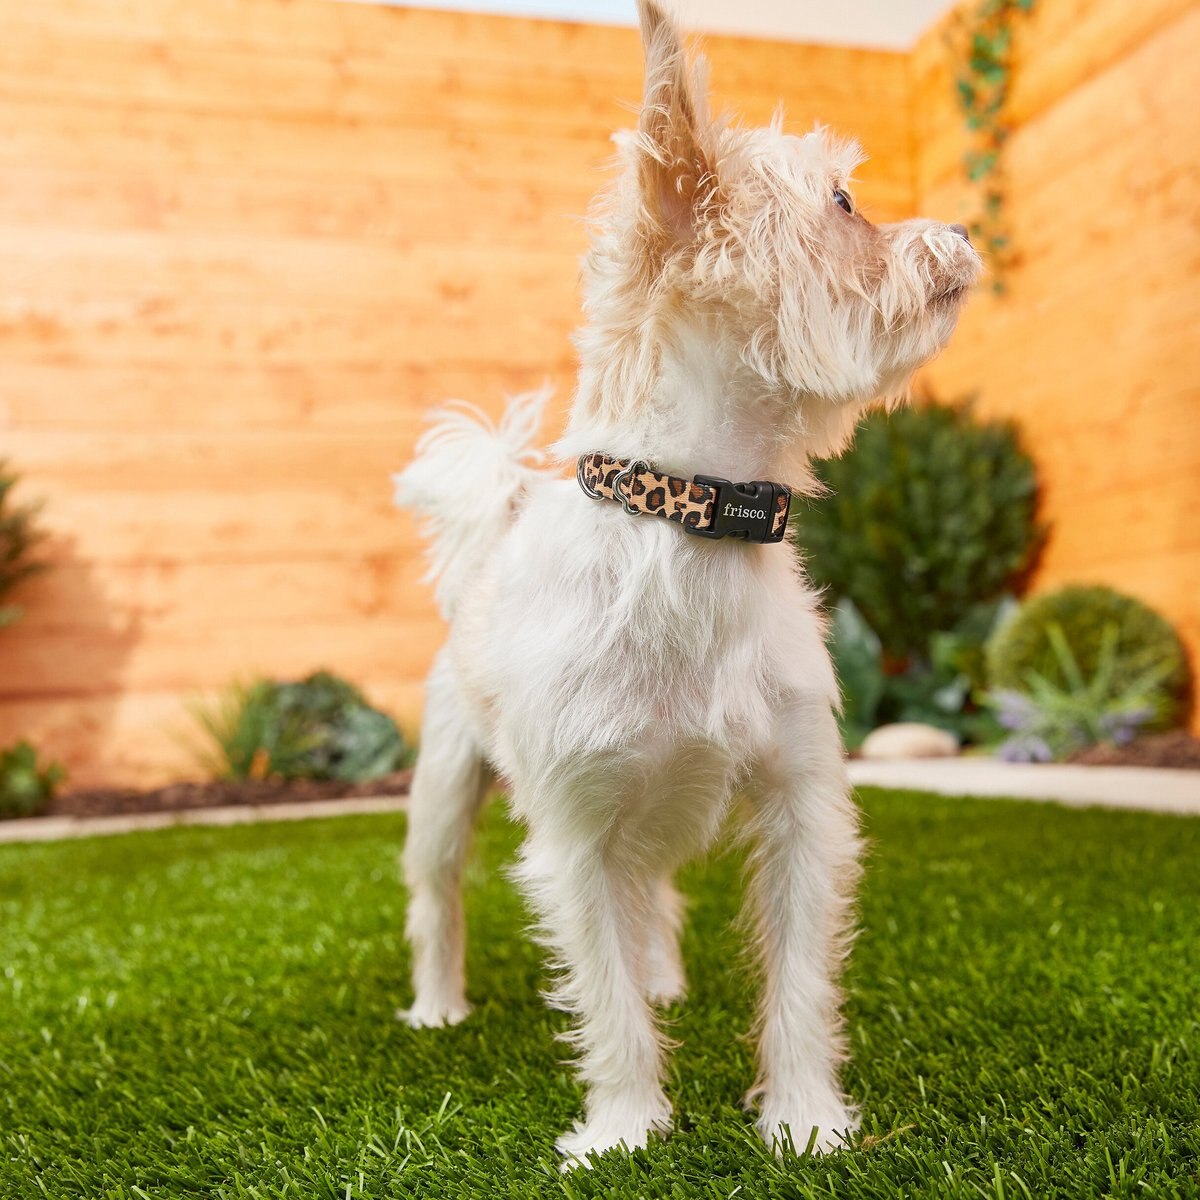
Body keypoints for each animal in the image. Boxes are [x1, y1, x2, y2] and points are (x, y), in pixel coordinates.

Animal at [388, 0, 979, 1161]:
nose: (968, 231)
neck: (693, 522)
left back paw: (663, 978)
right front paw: (624, 1129)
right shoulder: (572, 834)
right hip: (445, 789)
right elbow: (600, 994)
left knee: (651, 895)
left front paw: (805, 1121)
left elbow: (797, 984)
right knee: (442, 899)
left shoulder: (802, 805)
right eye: (844, 203)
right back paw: (439, 1007)